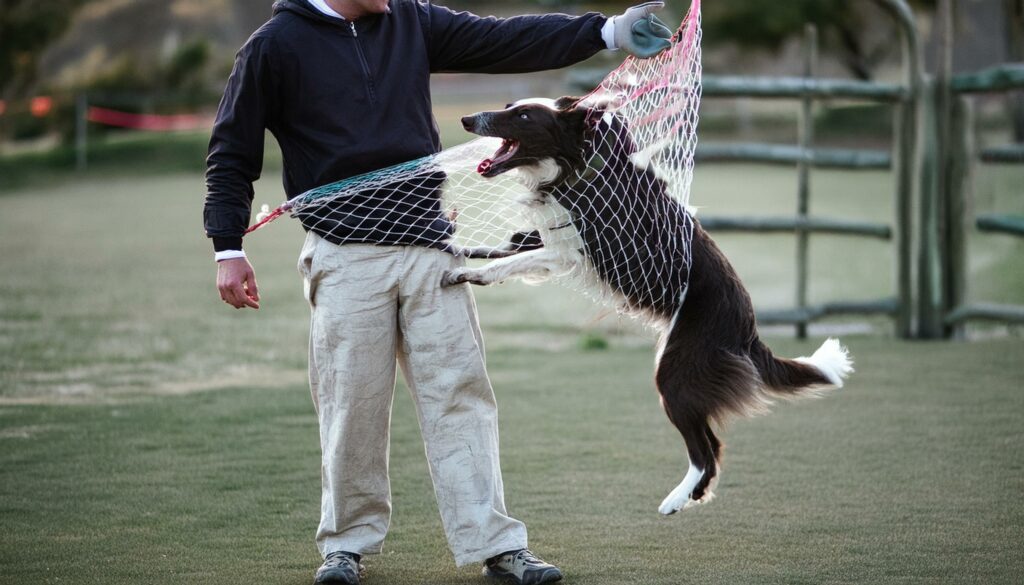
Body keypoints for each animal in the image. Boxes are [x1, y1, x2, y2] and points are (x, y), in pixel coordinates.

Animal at [444, 98, 851, 514]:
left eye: (524, 116)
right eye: (509, 106)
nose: (467, 119)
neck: (575, 167)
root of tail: (749, 331)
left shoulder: (572, 252)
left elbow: (513, 258)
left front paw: (469, 273)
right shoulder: (555, 240)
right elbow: (512, 244)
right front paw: (458, 247)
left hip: (676, 371)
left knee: (704, 450)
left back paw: (675, 499)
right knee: (714, 445)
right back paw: (694, 494)